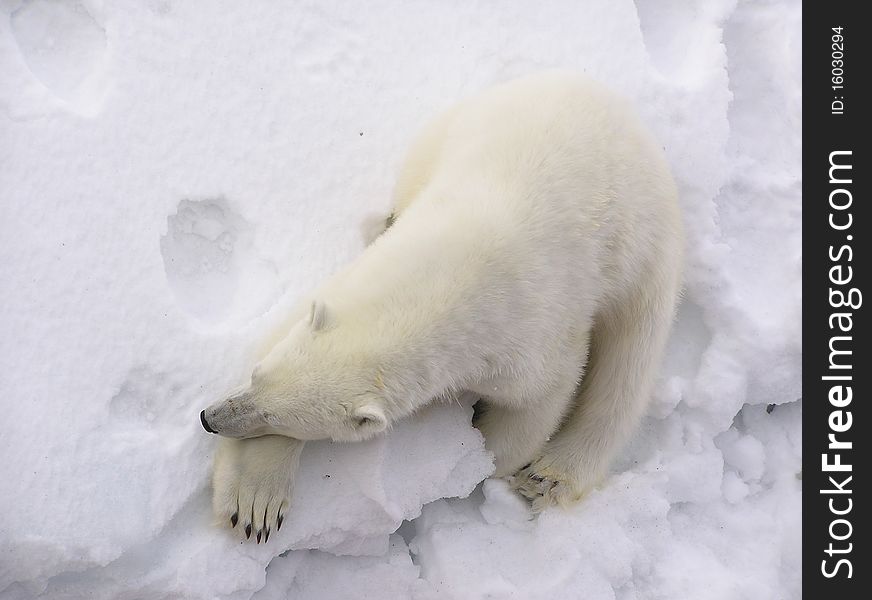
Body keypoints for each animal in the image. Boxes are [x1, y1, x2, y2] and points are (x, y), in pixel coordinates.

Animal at [201, 72, 684, 540]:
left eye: (275, 417)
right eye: (256, 377)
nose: (210, 418)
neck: (447, 282)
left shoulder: (533, 338)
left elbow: (535, 408)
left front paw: (470, 461)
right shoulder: (359, 277)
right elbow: (283, 326)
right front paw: (255, 504)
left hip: (644, 251)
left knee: (628, 365)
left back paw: (549, 477)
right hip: (452, 129)